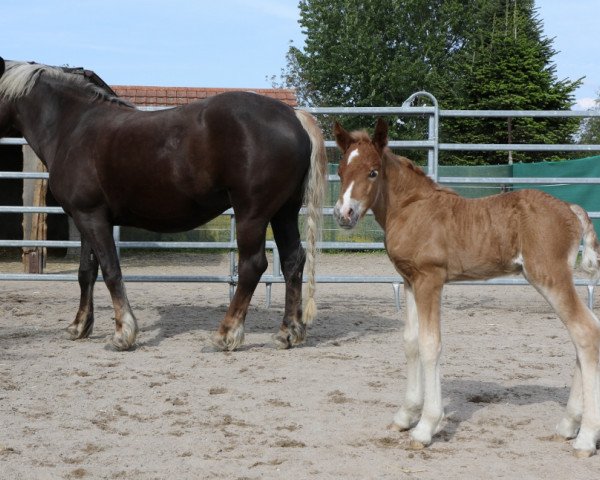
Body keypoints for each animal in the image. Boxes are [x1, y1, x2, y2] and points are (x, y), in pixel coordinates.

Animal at [0, 58, 326, 352]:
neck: (73, 125)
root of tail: (294, 117)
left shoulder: (92, 218)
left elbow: (111, 270)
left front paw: (123, 333)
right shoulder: (85, 219)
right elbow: (86, 273)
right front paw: (80, 326)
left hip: (252, 214)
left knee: (253, 265)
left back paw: (226, 334)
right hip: (284, 213)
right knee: (293, 261)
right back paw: (288, 333)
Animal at [332, 119, 600, 458]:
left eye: (373, 172)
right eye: (340, 170)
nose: (344, 214)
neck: (410, 208)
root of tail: (571, 208)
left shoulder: (430, 280)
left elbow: (430, 345)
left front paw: (425, 428)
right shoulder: (409, 281)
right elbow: (410, 342)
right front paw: (405, 416)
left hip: (550, 277)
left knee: (585, 332)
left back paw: (585, 438)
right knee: (584, 334)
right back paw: (568, 425)